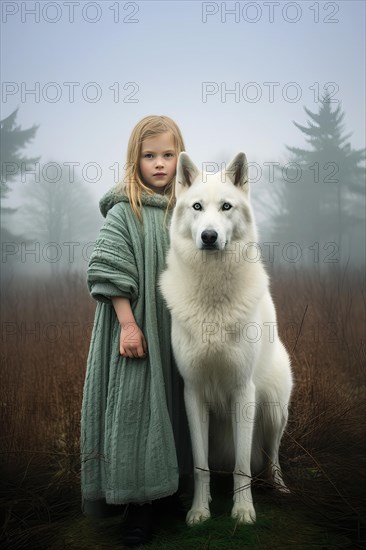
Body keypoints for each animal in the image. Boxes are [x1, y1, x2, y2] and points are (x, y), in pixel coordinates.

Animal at [159, 151, 292, 528]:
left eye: (226, 207)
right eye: (197, 207)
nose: (208, 236)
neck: (212, 294)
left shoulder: (243, 392)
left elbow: (242, 465)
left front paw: (243, 511)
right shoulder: (193, 393)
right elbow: (200, 466)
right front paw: (199, 510)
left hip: (273, 410)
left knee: (271, 456)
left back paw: (279, 486)